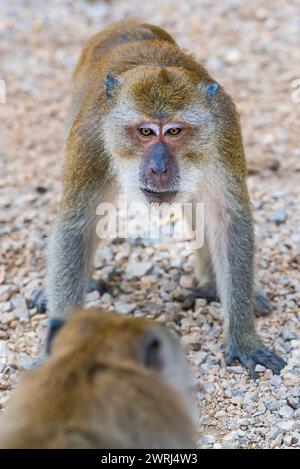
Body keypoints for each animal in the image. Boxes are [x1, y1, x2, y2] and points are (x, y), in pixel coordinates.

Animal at [45, 20, 284, 378]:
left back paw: (211, 284)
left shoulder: (223, 130)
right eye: (145, 132)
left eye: (173, 131)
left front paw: (243, 337)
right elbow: (77, 226)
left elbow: (227, 219)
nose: (159, 167)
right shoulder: (90, 137)